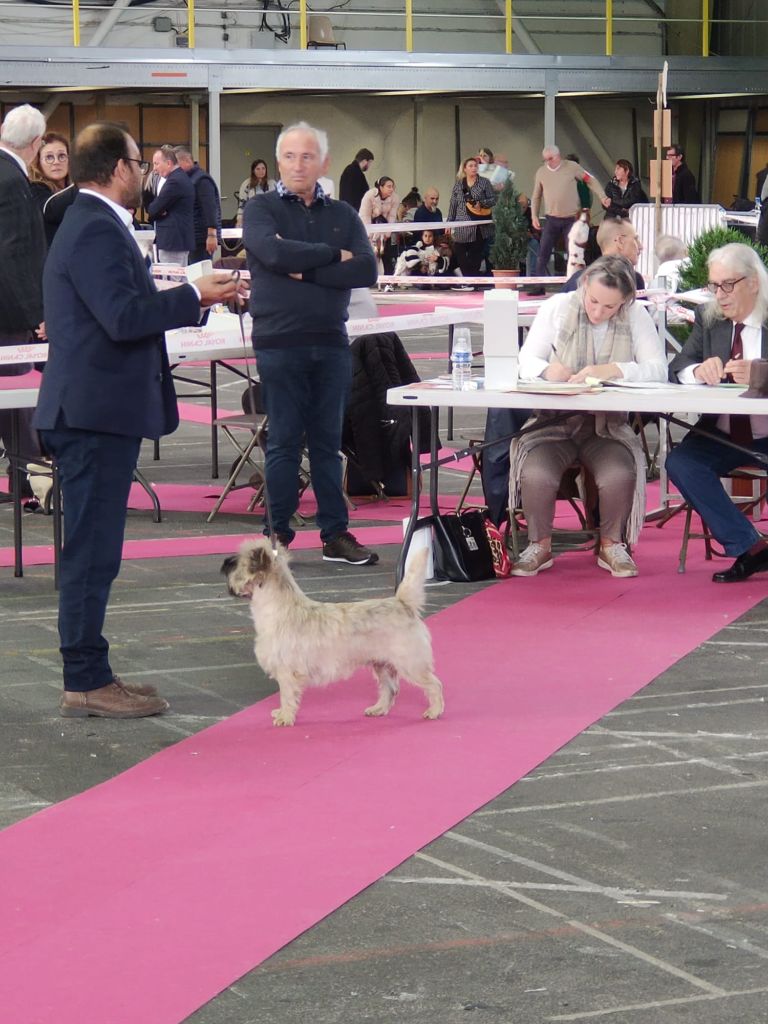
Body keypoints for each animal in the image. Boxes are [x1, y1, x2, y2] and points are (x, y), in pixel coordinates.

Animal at [219, 540, 444, 724]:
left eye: (238, 562)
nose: (224, 564)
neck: (280, 607)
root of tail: (403, 603)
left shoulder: (286, 672)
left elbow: (287, 695)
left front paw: (285, 717)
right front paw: (282, 713)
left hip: (410, 663)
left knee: (434, 684)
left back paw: (434, 711)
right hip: (381, 663)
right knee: (390, 688)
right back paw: (378, 709)